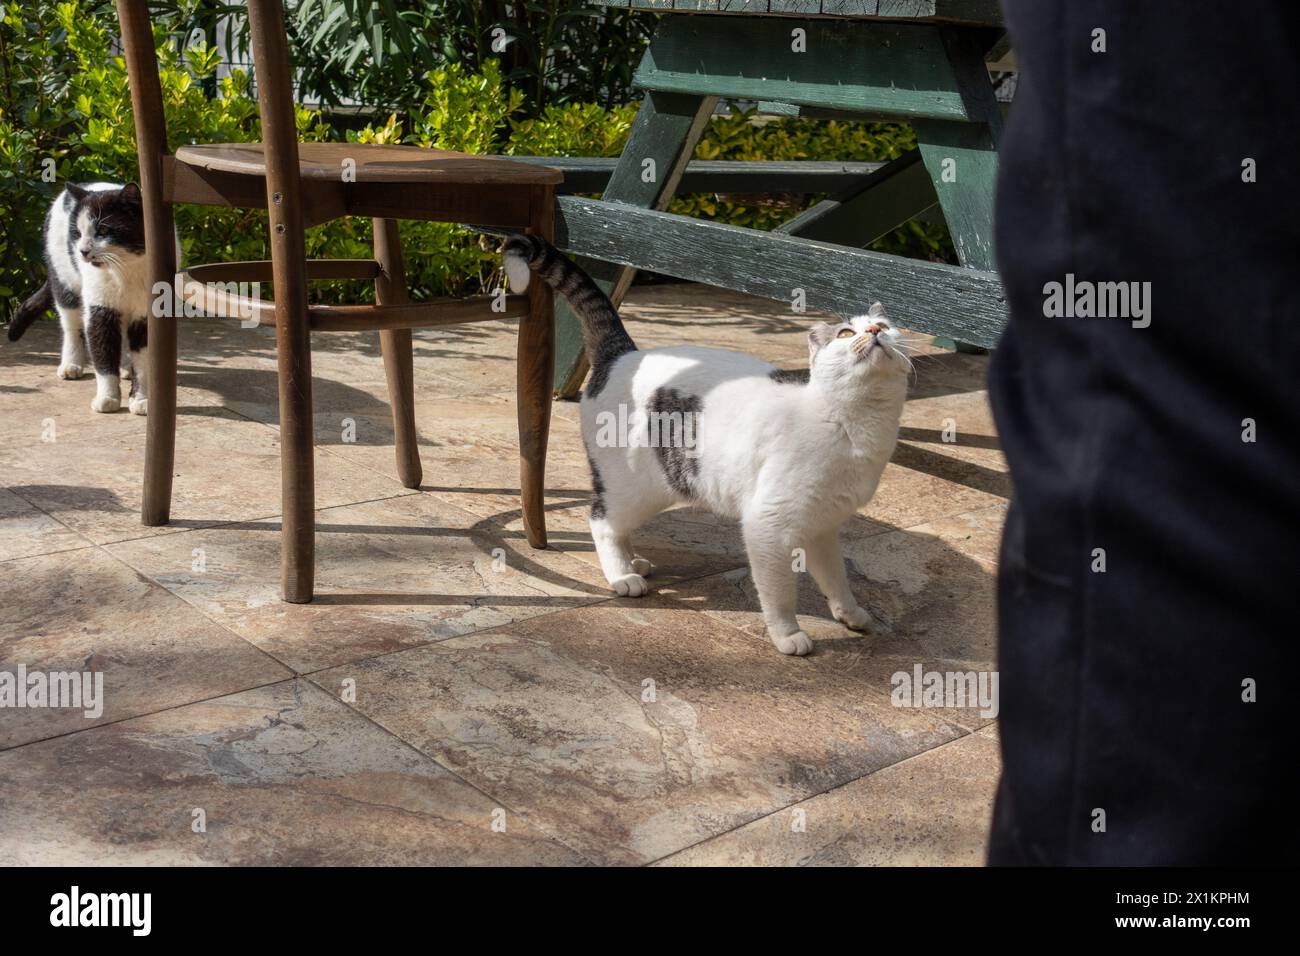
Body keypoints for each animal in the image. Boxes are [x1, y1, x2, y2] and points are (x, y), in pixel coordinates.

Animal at [8, 183, 151, 416]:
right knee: (71, 326)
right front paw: (107, 398)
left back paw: (125, 367)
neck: (125, 272)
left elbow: (144, 362)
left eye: (103, 231)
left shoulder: (145, 315)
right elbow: (103, 356)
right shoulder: (99, 309)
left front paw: (141, 398)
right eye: (78, 233)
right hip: (66, 282)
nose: (83, 250)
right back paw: (71, 365)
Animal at [501, 238, 909, 658]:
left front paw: (852, 615)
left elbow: (836, 578)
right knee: (601, 521)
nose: (875, 329)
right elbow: (779, 594)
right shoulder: (767, 524)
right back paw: (622, 576)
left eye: (886, 327)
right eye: (844, 333)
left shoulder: (823, 527)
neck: (854, 428)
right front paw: (787, 634)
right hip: (636, 488)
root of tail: (624, 353)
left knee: (615, 523)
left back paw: (635, 562)